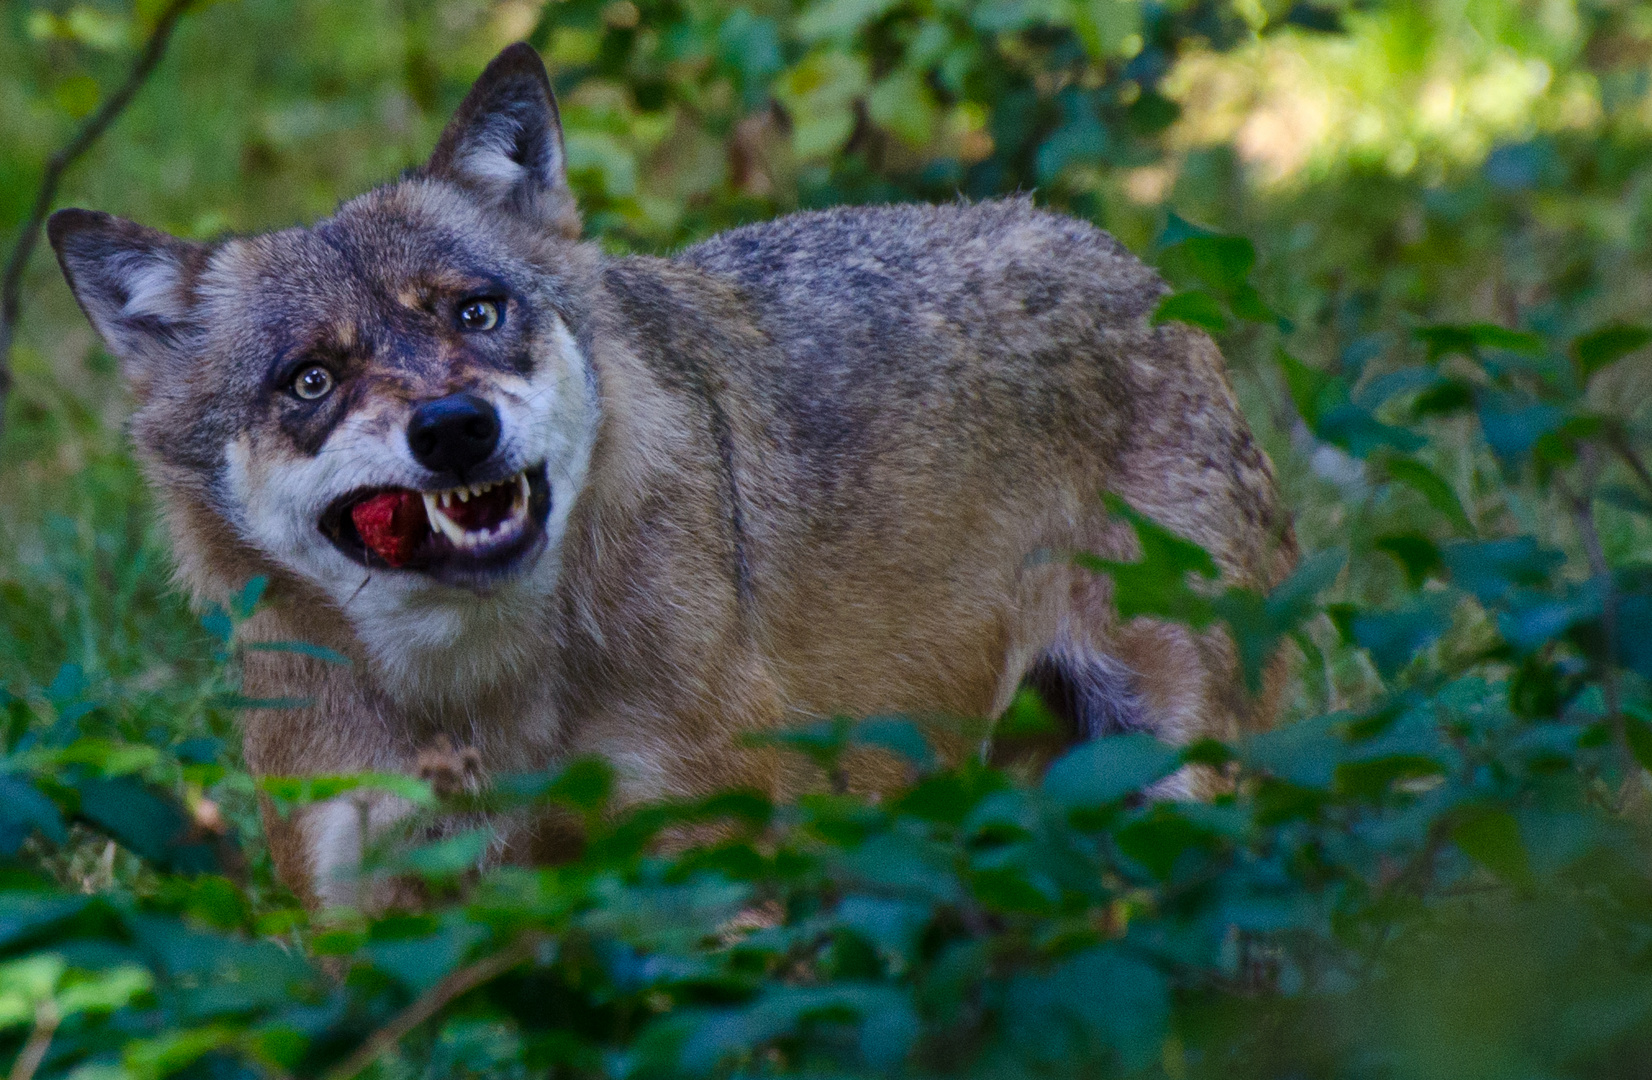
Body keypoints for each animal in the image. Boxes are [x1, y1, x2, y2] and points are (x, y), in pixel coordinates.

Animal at [45, 40, 1295, 904]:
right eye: (311, 380)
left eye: (476, 312)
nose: (452, 428)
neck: (480, 703)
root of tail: (1126, 258)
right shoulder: (362, 929)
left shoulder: (700, 863)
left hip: (1187, 777)